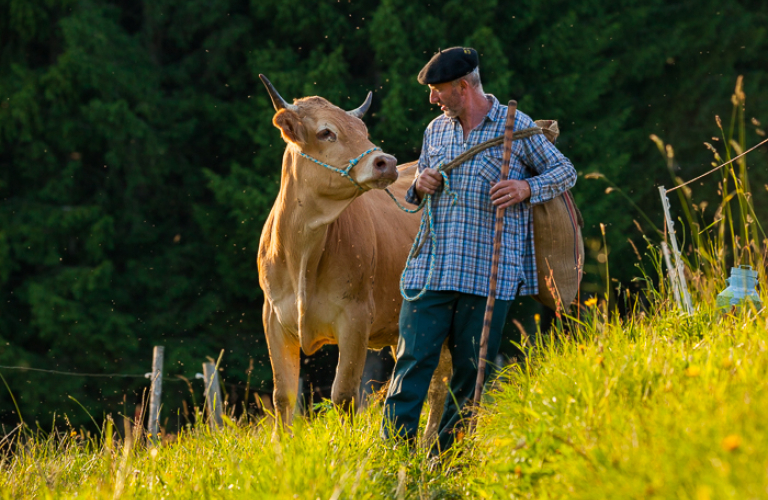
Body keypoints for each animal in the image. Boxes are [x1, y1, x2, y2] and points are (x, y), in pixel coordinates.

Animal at [258, 74, 450, 442]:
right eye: (326, 132)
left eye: (362, 129)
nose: (386, 162)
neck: (302, 256)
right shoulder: (273, 317)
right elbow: (283, 396)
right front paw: (281, 447)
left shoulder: (356, 316)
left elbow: (344, 394)